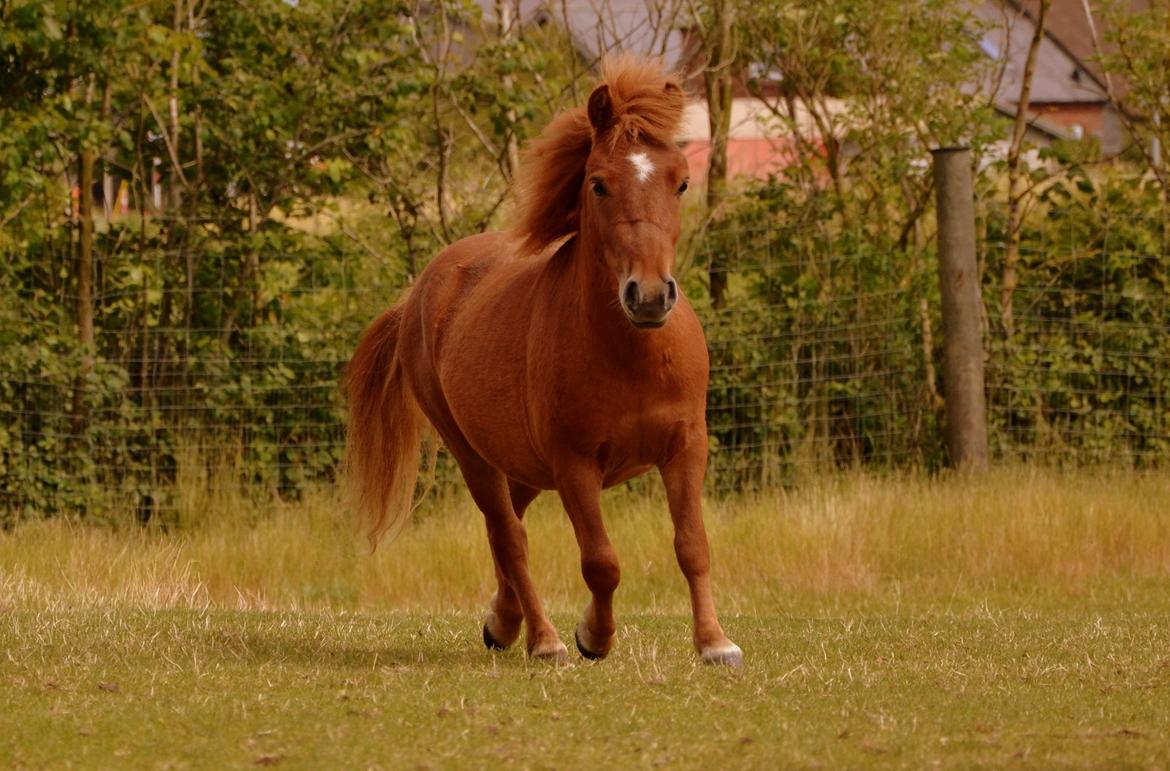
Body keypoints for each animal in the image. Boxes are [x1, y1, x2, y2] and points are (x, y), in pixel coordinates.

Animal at [343, 57, 739, 664]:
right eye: (598, 184)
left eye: (681, 182)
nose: (648, 296)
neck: (632, 357)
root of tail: (420, 292)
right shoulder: (574, 465)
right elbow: (601, 563)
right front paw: (593, 636)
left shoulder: (686, 447)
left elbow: (692, 545)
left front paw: (715, 642)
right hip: (475, 454)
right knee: (509, 536)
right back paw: (543, 639)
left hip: (521, 460)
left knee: (508, 529)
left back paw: (503, 624)